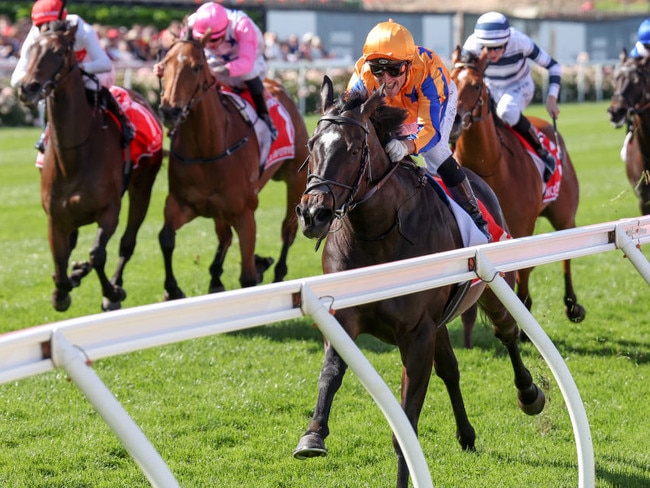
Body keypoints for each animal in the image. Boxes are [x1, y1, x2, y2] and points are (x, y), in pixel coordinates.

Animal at [17, 21, 162, 310]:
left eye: (60, 52)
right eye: (31, 50)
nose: (28, 87)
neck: (74, 156)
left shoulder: (108, 210)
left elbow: (97, 254)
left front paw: (112, 293)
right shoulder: (56, 218)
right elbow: (60, 262)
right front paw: (63, 287)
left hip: (143, 187)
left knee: (127, 242)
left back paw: (114, 282)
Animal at [157, 31, 308, 302]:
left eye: (196, 67)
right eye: (164, 64)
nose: (169, 111)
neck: (207, 149)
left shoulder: (244, 212)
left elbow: (247, 276)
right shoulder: (180, 203)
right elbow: (165, 237)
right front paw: (172, 288)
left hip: (295, 179)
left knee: (288, 228)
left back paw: (278, 272)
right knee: (224, 237)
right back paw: (216, 277)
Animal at [292, 75, 544, 488]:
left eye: (353, 148)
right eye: (312, 146)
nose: (314, 213)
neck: (378, 234)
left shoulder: (416, 334)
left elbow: (406, 423)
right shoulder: (345, 316)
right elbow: (331, 372)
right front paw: (313, 435)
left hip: (490, 289)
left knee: (507, 333)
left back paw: (528, 394)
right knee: (451, 368)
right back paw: (466, 434)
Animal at [448, 46, 584, 346]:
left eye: (476, 85)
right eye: (450, 82)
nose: (453, 122)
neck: (491, 166)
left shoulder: (521, 227)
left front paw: (521, 325)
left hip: (563, 215)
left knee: (567, 258)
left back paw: (571, 305)